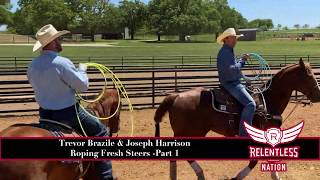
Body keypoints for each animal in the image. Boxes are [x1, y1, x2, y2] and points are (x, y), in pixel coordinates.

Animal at [154, 58, 320, 179]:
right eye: (309, 75)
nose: (318, 95)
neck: (268, 100)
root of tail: (176, 97)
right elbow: (254, 161)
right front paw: (237, 177)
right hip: (193, 132)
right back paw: (200, 174)